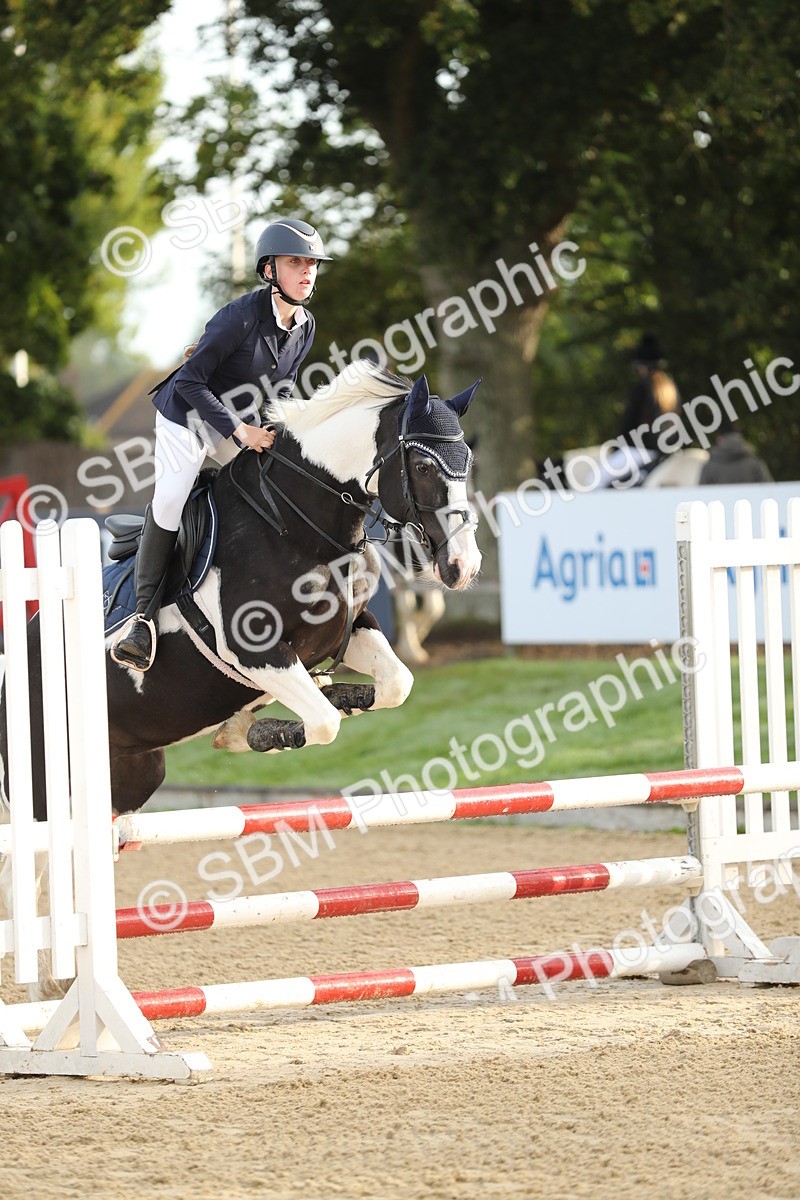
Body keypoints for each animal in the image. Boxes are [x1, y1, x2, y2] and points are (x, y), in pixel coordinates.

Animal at [0, 361, 482, 997]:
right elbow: (321, 721)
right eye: (424, 467)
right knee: (26, 873)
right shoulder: (253, 649)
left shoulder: (350, 632)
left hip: (128, 776)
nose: (463, 568)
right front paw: (265, 729)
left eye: (468, 460)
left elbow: (393, 684)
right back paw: (44, 994)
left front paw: (279, 716)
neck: (299, 522)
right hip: (40, 792)